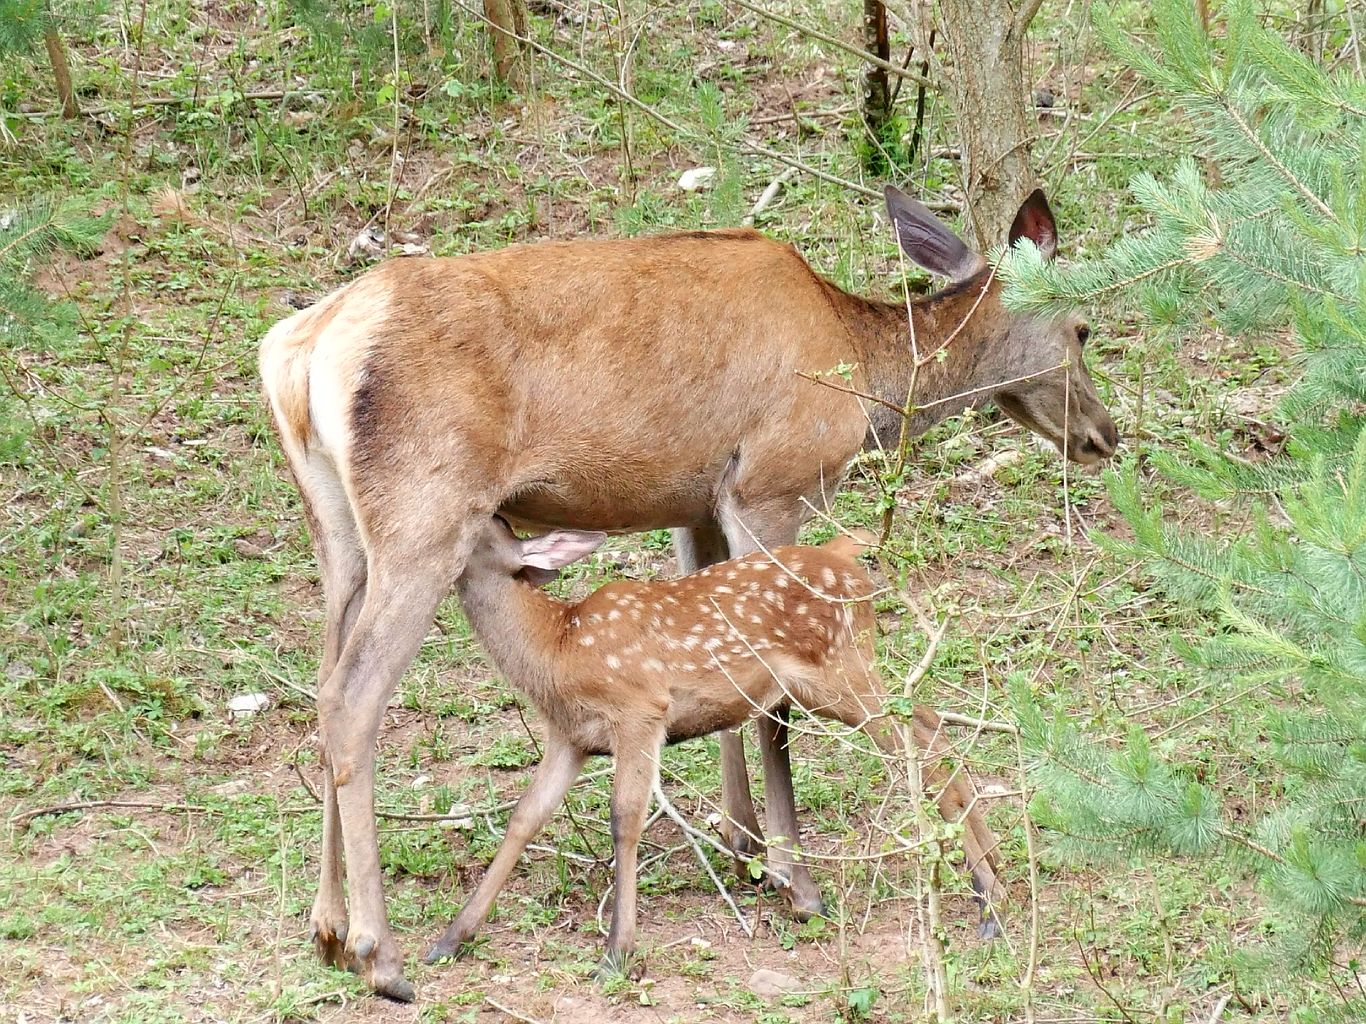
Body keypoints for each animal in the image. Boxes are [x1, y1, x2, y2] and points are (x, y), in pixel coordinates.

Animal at [424, 518, 1005, 973]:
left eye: (480, 525)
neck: (557, 647)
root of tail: (846, 555)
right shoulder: (570, 737)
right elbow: (526, 815)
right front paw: (450, 939)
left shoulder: (640, 709)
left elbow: (625, 817)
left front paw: (617, 952)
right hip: (846, 678)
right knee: (930, 723)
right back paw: (992, 877)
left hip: (841, 669)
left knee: (919, 746)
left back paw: (989, 904)